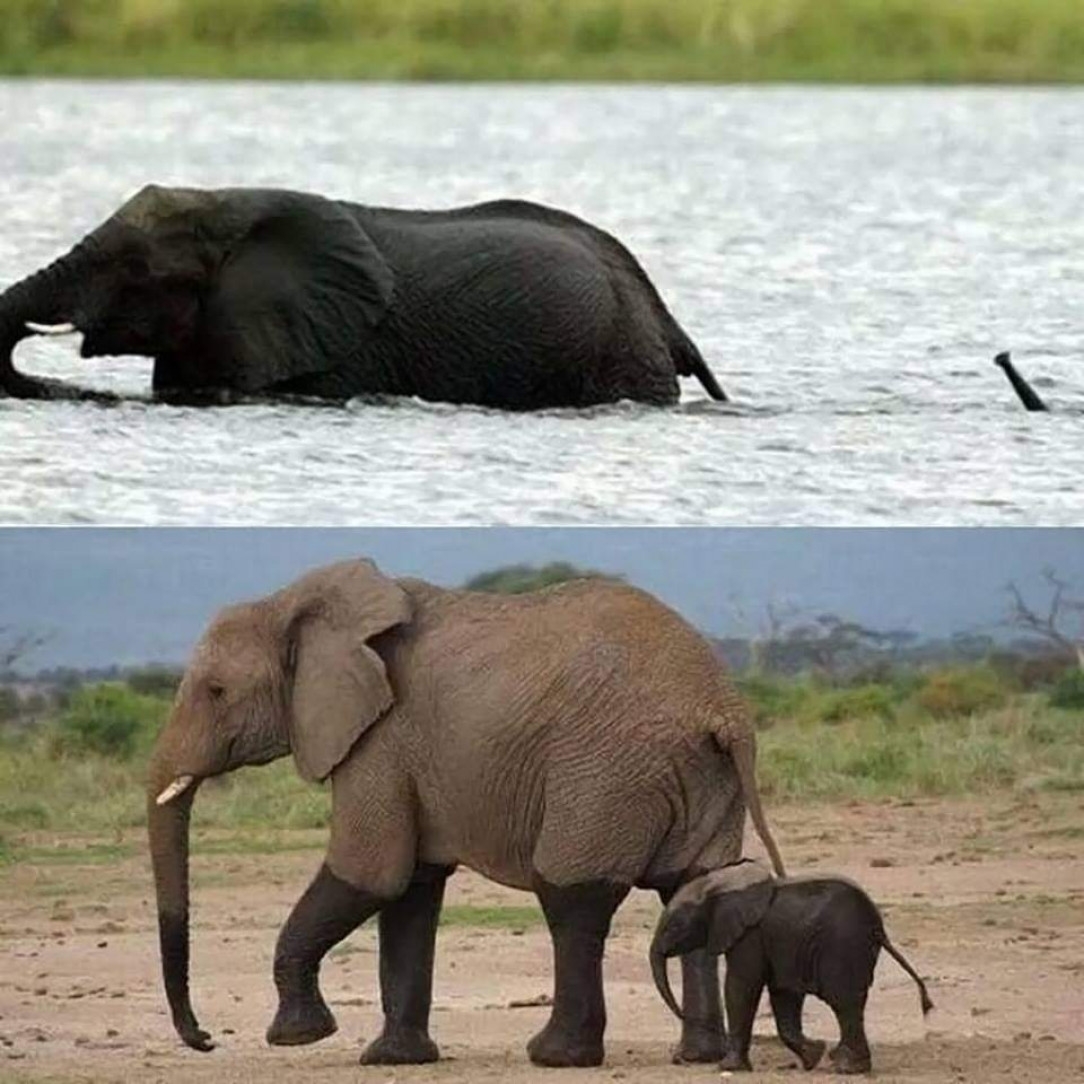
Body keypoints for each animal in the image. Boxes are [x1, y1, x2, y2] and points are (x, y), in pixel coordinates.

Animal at [148, 559, 784, 1066]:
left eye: (215, 691)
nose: (205, 1038)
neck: (294, 604)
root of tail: (721, 707)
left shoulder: (381, 740)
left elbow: (370, 873)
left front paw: (299, 1037)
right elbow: (411, 889)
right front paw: (393, 1060)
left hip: (606, 772)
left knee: (572, 896)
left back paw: (556, 1056)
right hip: (697, 774)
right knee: (693, 887)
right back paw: (697, 1056)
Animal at [646, 858, 936, 1070]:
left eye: (674, 926)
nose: (678, 1058)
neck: (719, 883)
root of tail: (878, 927)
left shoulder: (750, 935)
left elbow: (741, 987)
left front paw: (728, 1068)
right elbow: (783, 994)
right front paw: (813, 1056)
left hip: (843, 946)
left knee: (844, 1001)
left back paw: (847, 1068)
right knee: (850, 1003)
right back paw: (840, 1062)